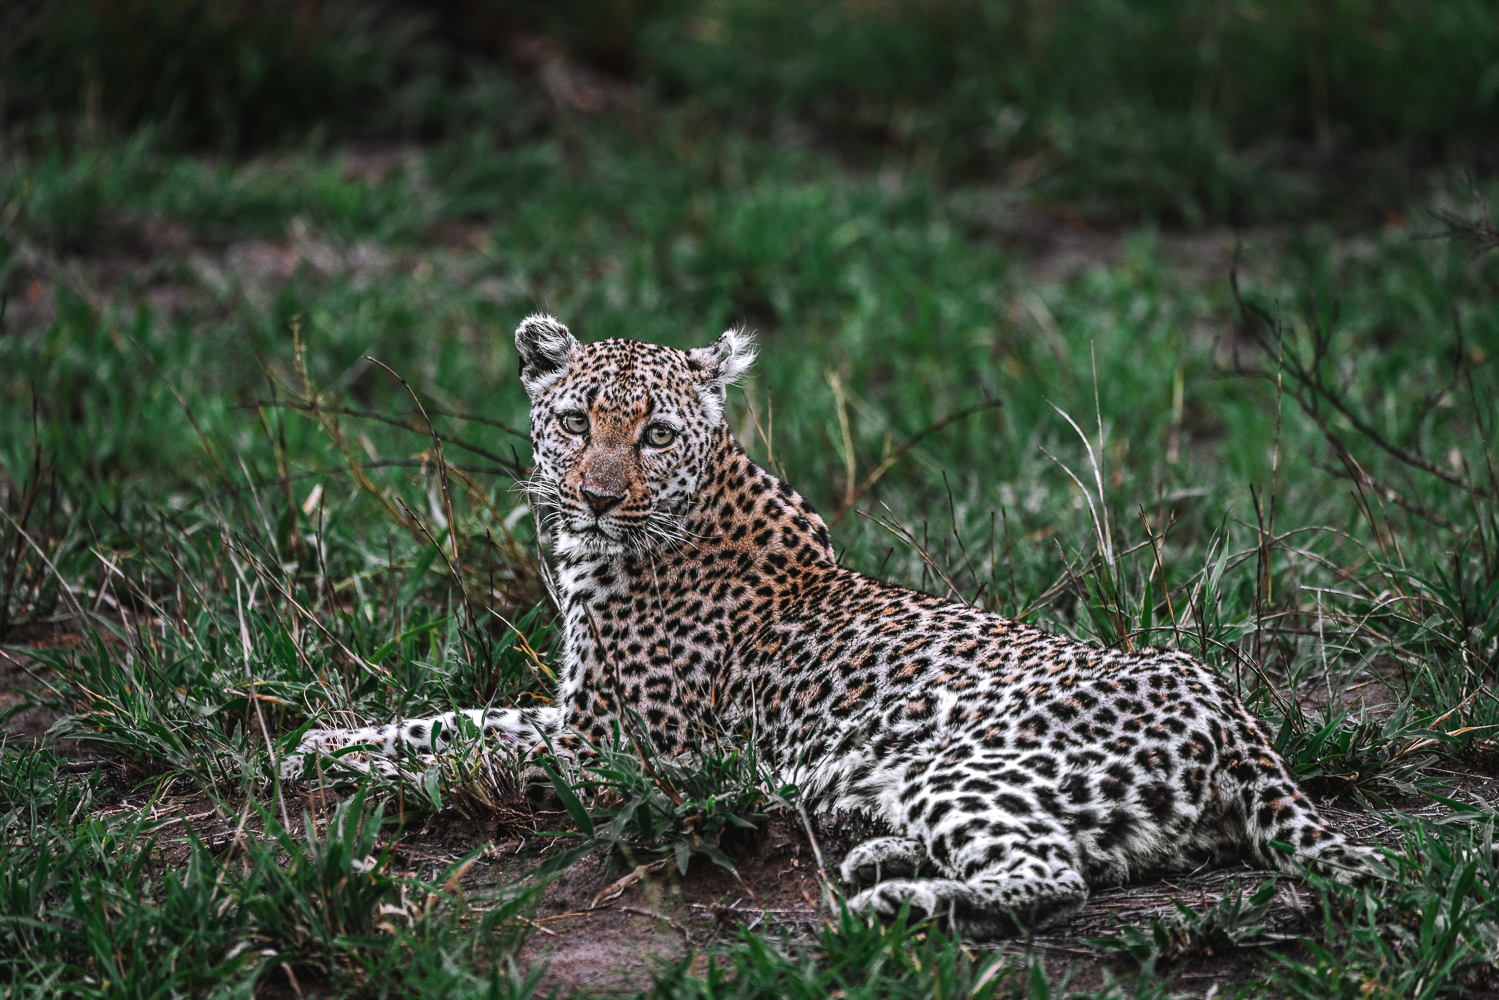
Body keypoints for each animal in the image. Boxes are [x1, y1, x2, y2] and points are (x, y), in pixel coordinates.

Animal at [283, 313, 1379, 941]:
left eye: (654, 433)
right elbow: (465, 717)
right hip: (1071, 803)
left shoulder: (615, 752)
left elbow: (475, 750)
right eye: (575, 421)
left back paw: (885, 903)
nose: (595, 495)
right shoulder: (575, 714)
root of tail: (1223, 705)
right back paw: (883, 857)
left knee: (1050, 877)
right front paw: (324, 743)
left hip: (966, 764)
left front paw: (358, 769)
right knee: (1085, 860)